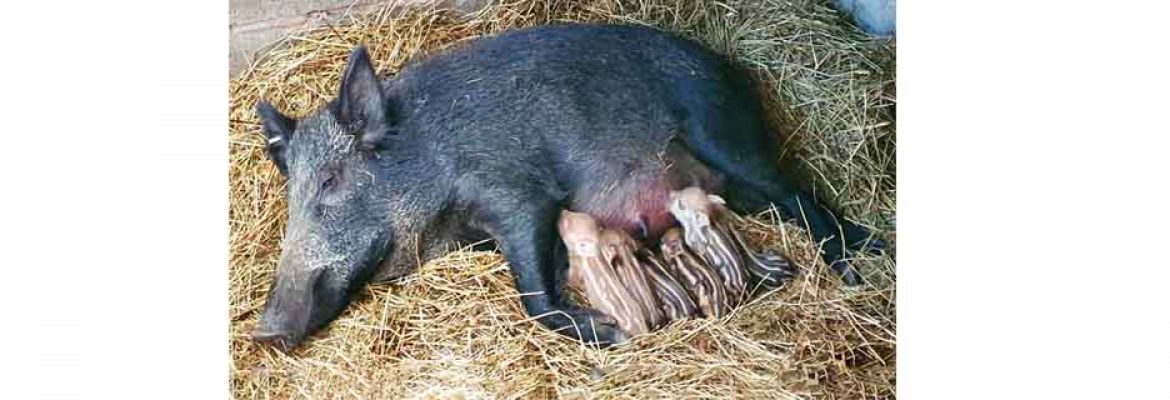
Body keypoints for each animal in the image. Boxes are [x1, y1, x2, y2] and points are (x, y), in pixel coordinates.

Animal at [253, 23, 879, 349]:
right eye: (292, 195)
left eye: (331, 180)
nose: (265, 331)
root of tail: (732, 69)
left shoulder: (516, 188)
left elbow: (534, 294)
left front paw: (611, 330)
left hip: (723, 132)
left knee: (804, 198)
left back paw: (854, 267)